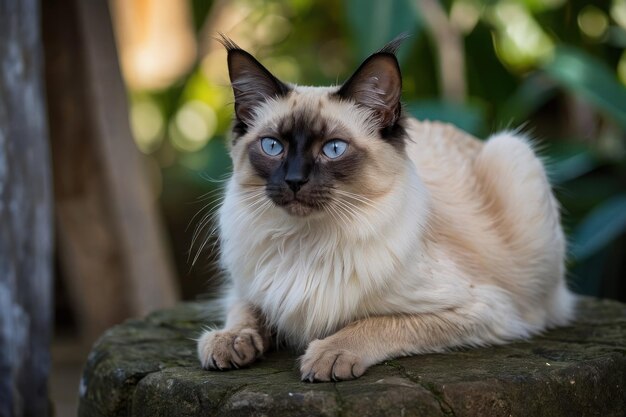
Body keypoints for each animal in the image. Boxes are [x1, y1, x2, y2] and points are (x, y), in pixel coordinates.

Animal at [197, 35, 572, 380]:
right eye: (273, 146)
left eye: (333, 149)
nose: (294, 180)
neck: (305, 243)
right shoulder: (247, 288)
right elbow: (245, 313)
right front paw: (229, 343)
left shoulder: (482, 309)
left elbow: (375, 323)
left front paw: (328, 356)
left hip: (512, 153)